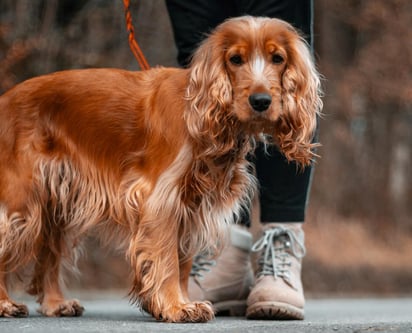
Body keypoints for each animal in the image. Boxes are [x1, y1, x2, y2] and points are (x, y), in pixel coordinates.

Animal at [0, 16, 322, 320]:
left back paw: (55, 303)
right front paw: (176, 307)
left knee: (50, 252)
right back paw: (6, 303)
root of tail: (4, 100)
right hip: (22, 201)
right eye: (235, 59)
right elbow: (167, 259)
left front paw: (181, 301)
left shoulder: (192, 204)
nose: (261, 101)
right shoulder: (161, 199)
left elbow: (183, 263)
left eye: (277, 58)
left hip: (58, 201)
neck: (199, 110)